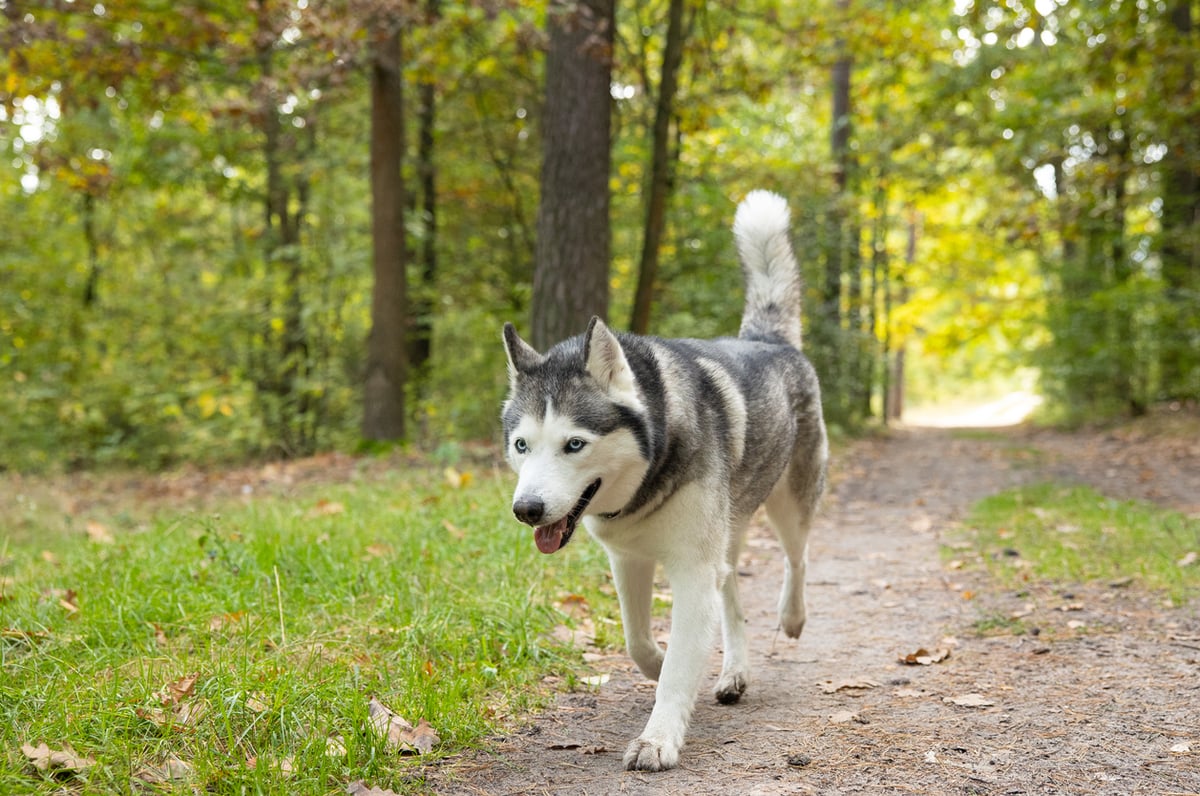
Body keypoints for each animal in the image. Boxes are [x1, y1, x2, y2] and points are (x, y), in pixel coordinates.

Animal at [496, 192, 825, 773]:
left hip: (789, 503)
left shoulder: (692, 568)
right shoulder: (628, 559)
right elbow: (638, 641)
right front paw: (659, 664)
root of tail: (766, 339)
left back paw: (792, 617)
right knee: (732, 589)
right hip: (727, 531)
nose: (527, 509)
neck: (648, 477)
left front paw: (659, 738)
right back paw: (734, 671)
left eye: (574, 444)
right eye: (521, 446)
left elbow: (676, 667)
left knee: (797, 557)